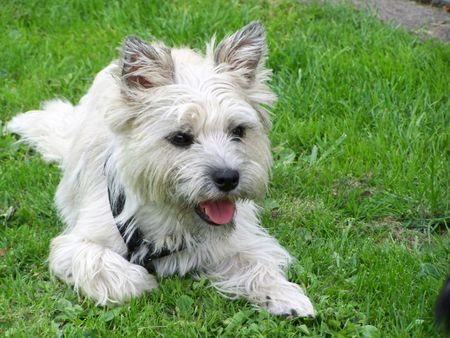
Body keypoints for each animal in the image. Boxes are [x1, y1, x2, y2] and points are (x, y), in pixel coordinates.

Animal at [7, 21, 316, 316]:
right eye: (180, 137)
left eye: (238, 131)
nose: (228, 178)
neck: (172, 218)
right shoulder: (78, 242)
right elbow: (102, 262)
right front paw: (140, 281)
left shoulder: (240, 241)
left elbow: (258, 264)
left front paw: (284, 296)